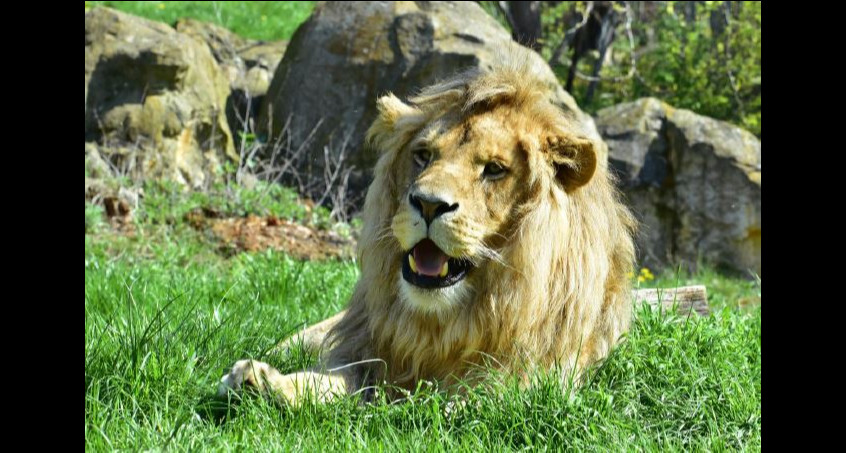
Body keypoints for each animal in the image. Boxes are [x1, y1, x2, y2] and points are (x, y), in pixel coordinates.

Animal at [219, 50, 636, 406]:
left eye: (494, 169)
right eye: (423, 155)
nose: (429, 204)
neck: (437, 325)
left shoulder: (531, 376)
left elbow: (470, 401)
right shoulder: (363, 354)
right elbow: (329, 380)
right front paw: (261, 381)